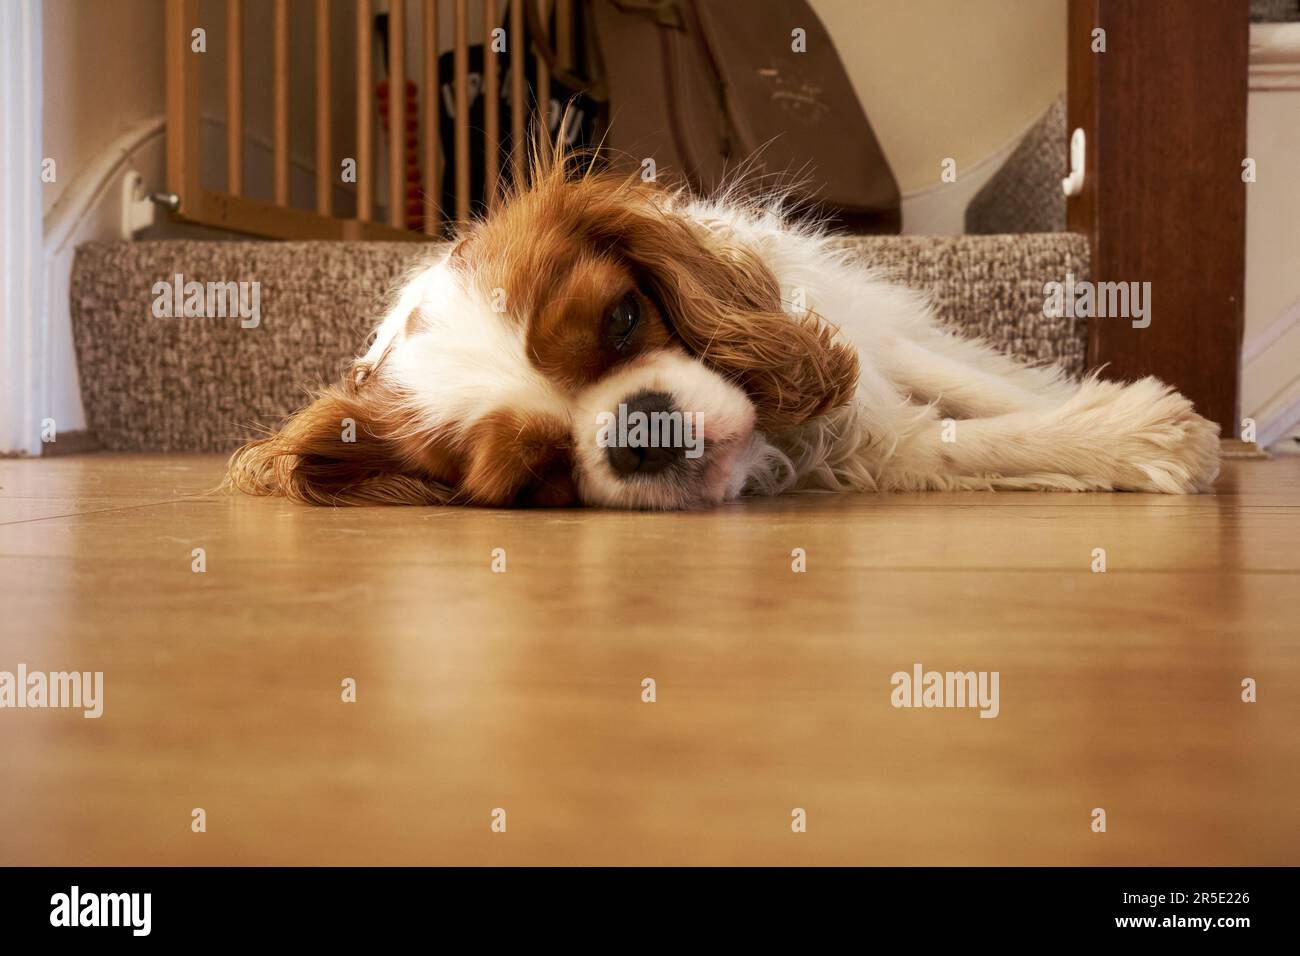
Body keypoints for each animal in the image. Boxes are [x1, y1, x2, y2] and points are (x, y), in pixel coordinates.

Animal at [231, 147, 1216, 509]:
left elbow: (981, 389)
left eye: (624, 316)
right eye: (534, 478)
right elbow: (963, 442)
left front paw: (1105, 408)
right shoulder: (882, 448)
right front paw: (1132, 437)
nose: (640, 430)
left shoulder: (861, 337)